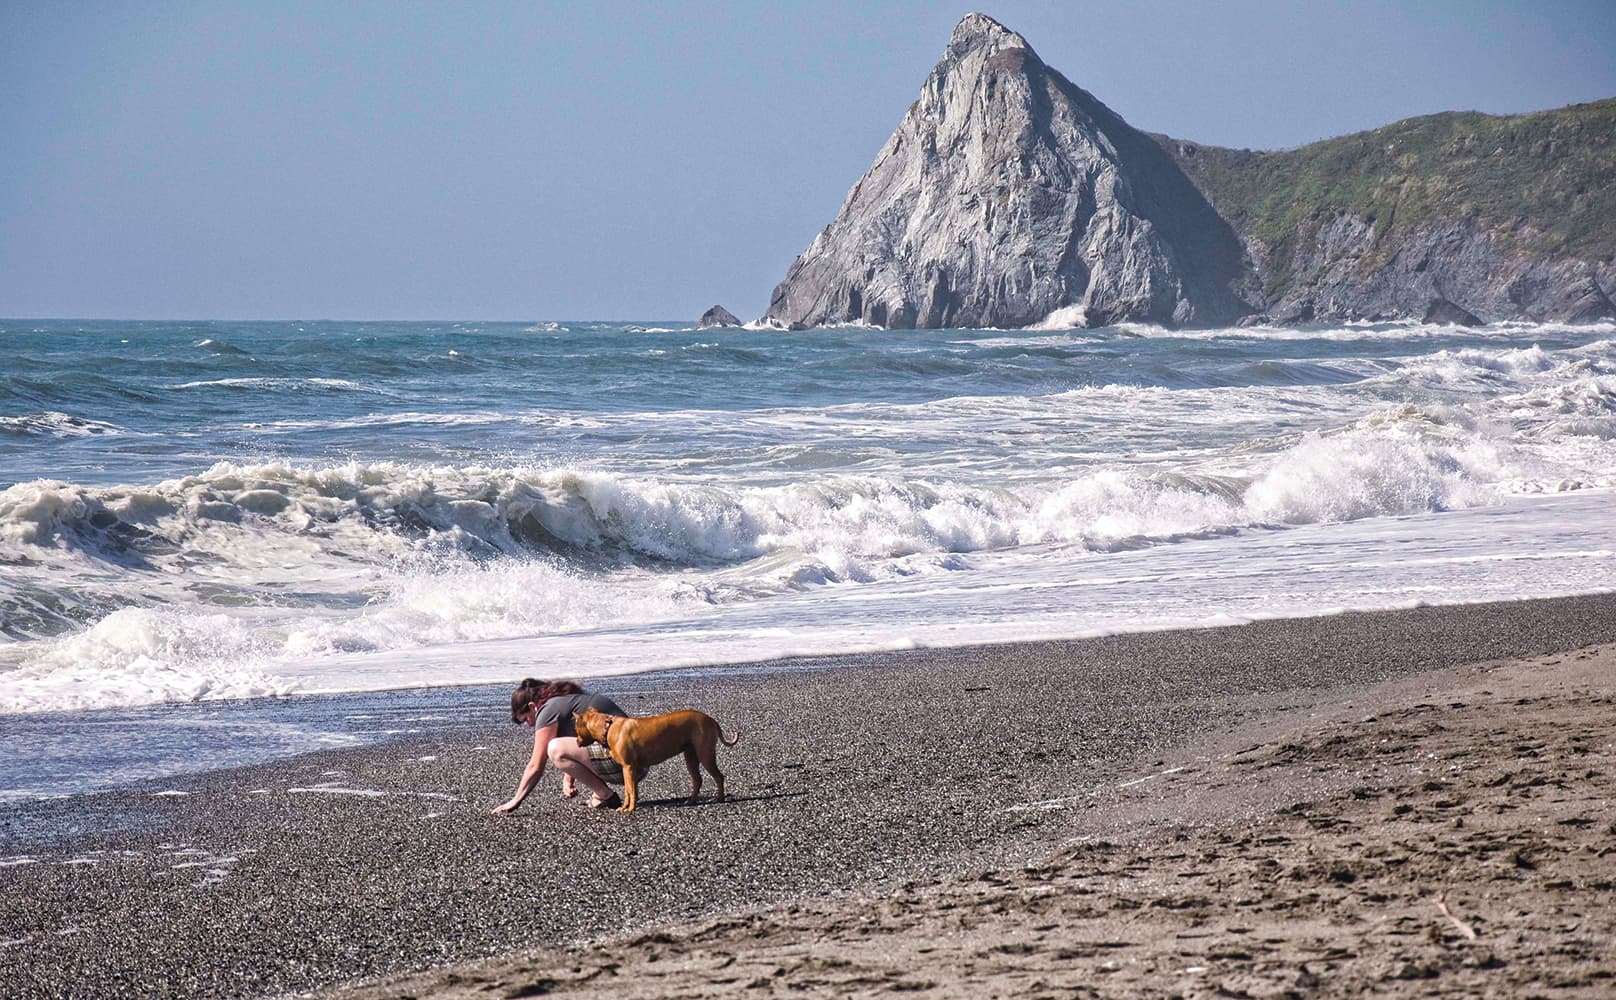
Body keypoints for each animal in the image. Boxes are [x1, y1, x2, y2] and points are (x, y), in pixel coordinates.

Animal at [575, 704, 740, 814]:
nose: (576, 742)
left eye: (576, 729)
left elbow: (630, 790)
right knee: (697, 779)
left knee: (719, 776)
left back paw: (720, 798)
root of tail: (710, 719)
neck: (608, 727)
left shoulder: (628, 767)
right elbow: (630, 790)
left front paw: (629, 808)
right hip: (691, 756)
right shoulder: (629, 769)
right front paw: (627, 806)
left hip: (705, 755)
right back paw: (692, 800)